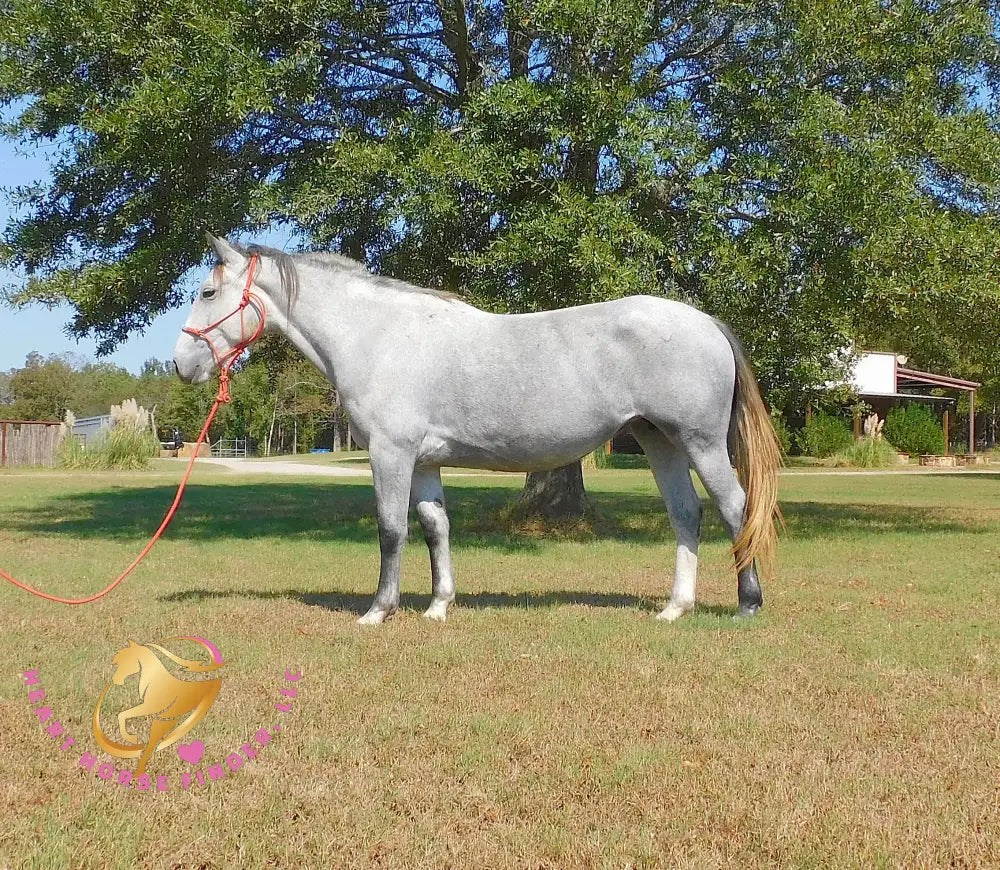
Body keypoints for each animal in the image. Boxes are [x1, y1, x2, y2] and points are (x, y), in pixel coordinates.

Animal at [174, 235, 780, 624]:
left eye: (207, 293)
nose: (182, 364)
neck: (380, 335)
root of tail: (705, 321)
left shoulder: (391, 455)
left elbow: (391, 530)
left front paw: (379, 610)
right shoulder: (424, 461)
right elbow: (434, 527)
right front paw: (439, 605)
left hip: (701, 443)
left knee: (735, 508)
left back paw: (748, 603)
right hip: (661, 442)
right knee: (686, 513)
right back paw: (675, 607)